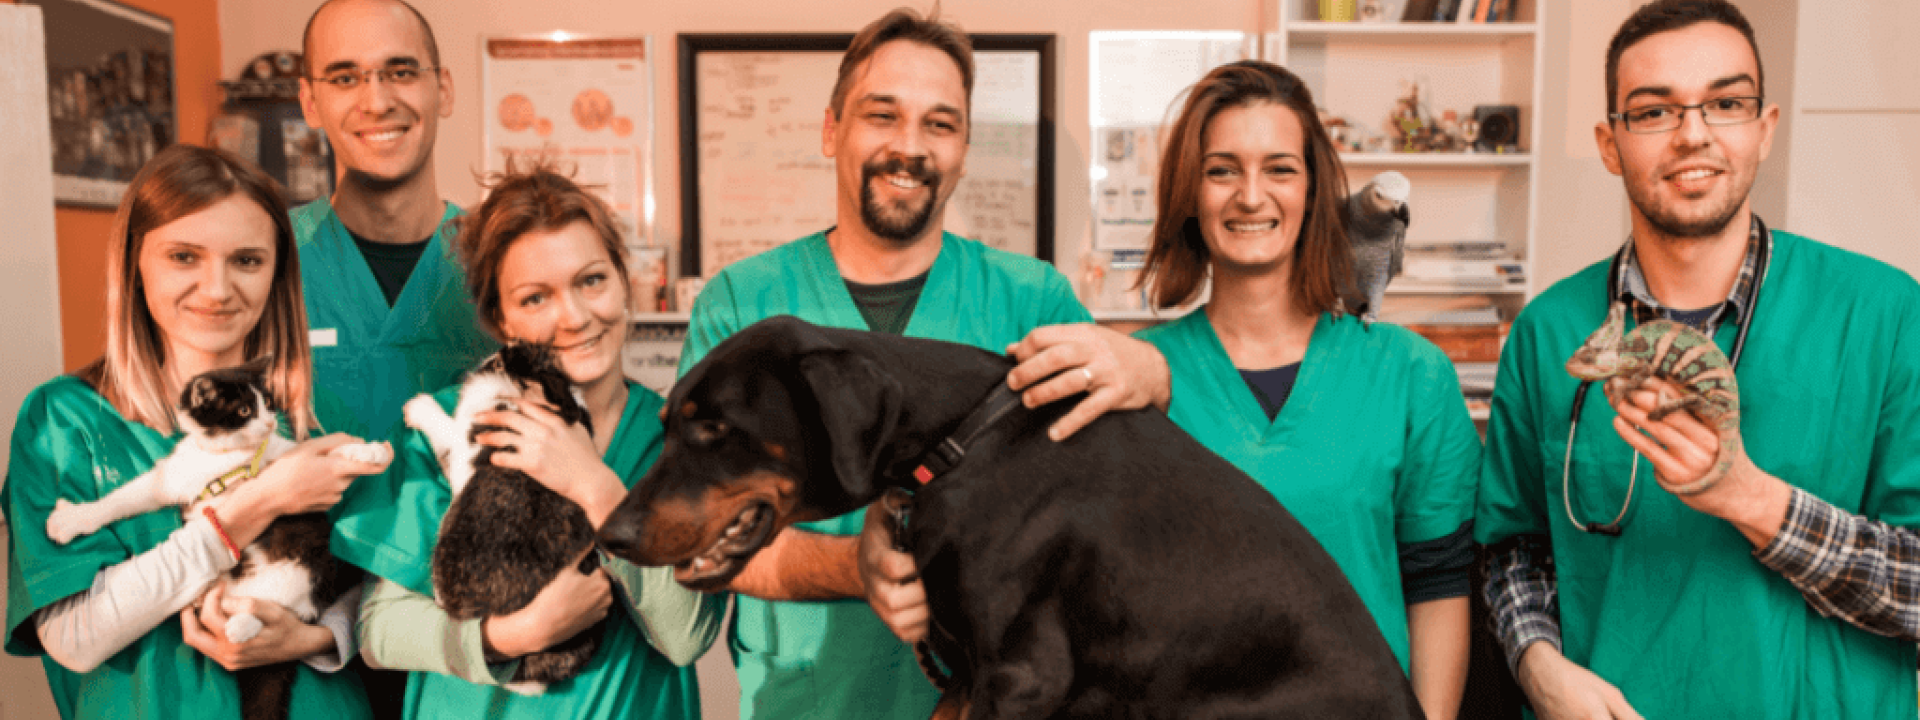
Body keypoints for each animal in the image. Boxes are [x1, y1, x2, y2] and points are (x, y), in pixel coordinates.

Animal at [599, 318, 1428, 720]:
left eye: (717, 430)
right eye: (669, 422)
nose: (610, 537)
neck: (956, 441)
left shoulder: (1022, 676)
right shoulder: (966, 673)